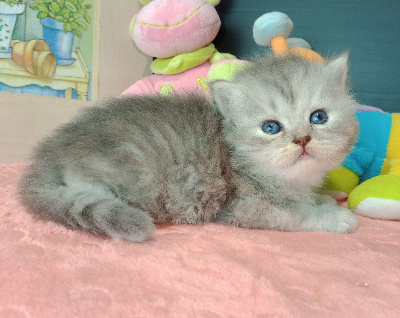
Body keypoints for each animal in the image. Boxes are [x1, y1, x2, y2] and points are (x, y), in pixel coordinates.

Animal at [18, 53, 360, 241]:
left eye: (319, 117)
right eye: (271, 127)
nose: (302, 139)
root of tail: (51, 152)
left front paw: (327, 198)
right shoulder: (244, 206)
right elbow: (296, 214)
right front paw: (332, 216)